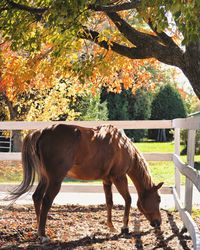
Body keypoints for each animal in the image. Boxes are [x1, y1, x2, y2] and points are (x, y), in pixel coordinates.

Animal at [8, 124, 164, 242]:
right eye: (158, 199)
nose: (158, 222)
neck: (123, 146)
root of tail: (42, 132)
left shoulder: (107, 180)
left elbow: (109, 202)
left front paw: (111, 226)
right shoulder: (119, 177)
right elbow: (128, 199)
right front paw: (124, 228)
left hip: (45, 178)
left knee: (37, 197)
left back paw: (39, 228)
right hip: (55, 180)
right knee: (46, 201)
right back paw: (43, 234)